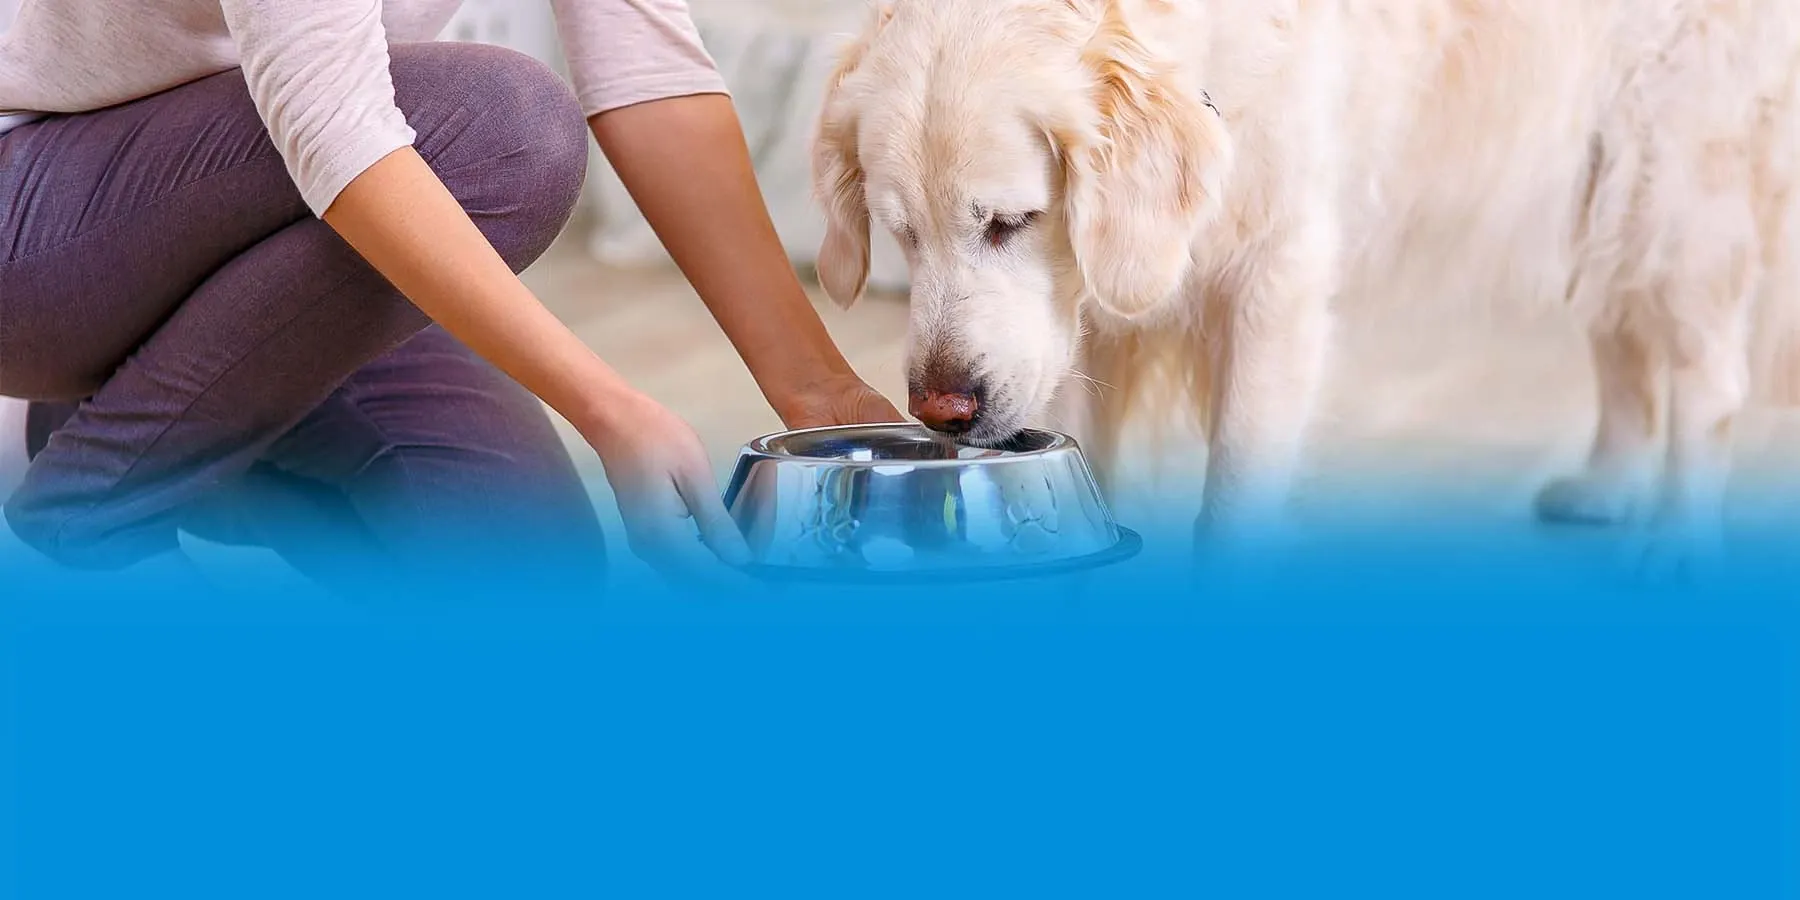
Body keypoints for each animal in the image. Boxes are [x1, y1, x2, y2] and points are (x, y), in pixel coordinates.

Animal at [810, 0, 1800, 572]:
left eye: (1011, 221)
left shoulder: (1273, 282)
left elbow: (1231, 499)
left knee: (1709, 383)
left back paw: (1674, 549)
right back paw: (1606, 487)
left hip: (1673, 186)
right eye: (903, 234)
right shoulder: (1097, 328)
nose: (943, 410)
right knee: (1624, 343)